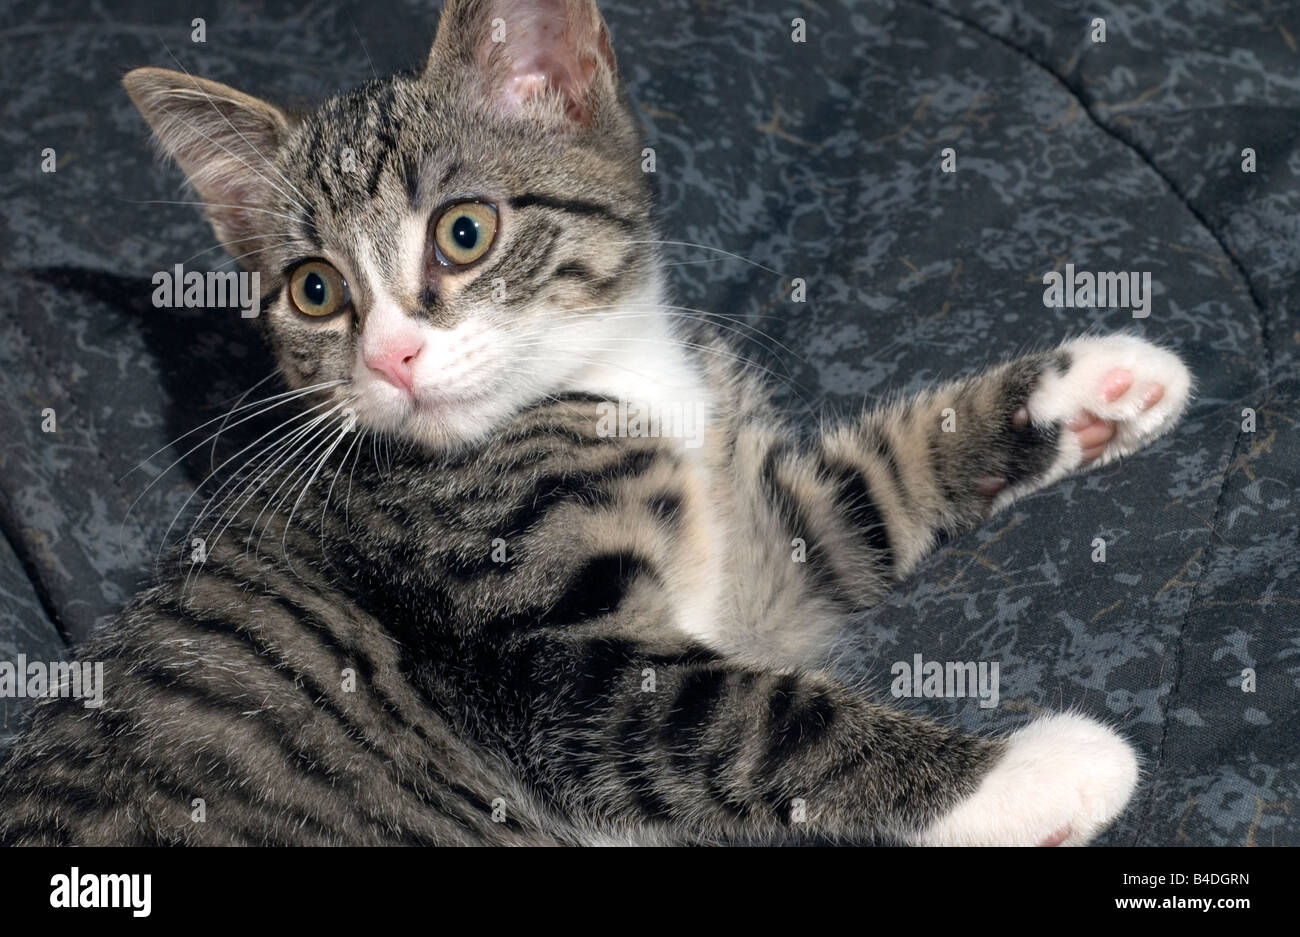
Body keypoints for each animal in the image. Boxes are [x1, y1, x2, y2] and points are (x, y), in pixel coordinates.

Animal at [0, 0, 1190, 847]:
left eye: (464, 232)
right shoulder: (540, 660)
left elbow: (857, 495)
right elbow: (758, 719)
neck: (607, 376)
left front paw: (1096, 385)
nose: (390, 356)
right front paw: (1034, 772)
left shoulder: (757, 556)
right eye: (315, 291)